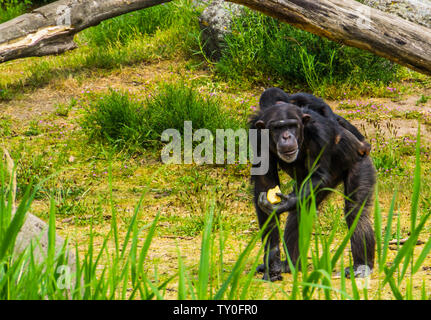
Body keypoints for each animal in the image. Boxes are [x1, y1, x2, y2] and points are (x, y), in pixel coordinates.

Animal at [251, 89, 376, 282]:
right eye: (278, 128)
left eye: (292, 126)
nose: (286, 136)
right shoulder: (257, 138)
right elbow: (265, 184)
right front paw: (271, 261)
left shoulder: (319, 132)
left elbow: (319, 174)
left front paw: (284, 204)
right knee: (298, 213)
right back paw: (289, 264)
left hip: (360, 163)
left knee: (356, 212)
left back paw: (361, 266)